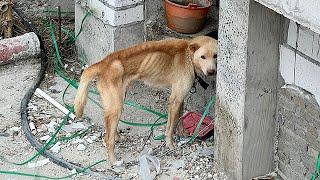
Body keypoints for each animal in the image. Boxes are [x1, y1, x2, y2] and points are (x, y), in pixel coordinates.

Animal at [73, 35, 218, 165]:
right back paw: (114, 161)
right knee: (108, 139)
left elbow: (179, 118)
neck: (188, 55)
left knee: (109, 127)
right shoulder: (174, 100)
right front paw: (170, 144)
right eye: (203, 57)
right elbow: (170, 127)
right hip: (116, 107)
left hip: (117, 102)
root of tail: (103, 63)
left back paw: (118, 137)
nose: (212, 72)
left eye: (216, 56)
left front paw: (182, 132)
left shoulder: (179, 98)